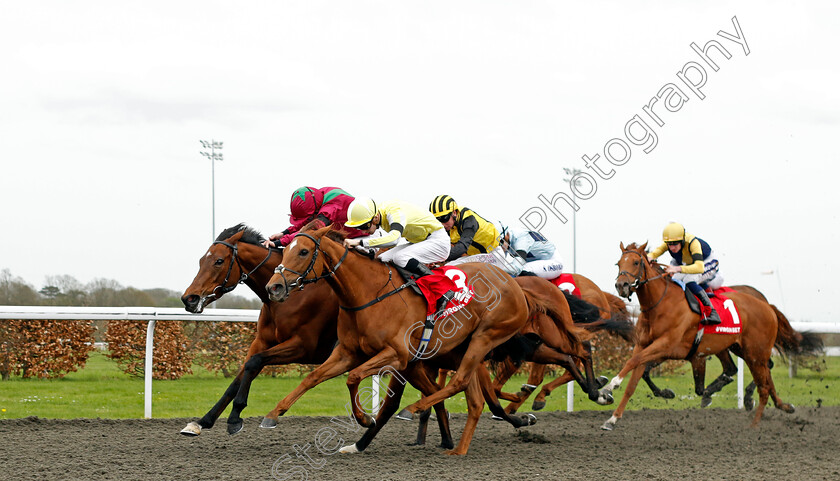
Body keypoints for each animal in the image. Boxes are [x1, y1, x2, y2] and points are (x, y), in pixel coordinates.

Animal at [266, 229, 592, 454]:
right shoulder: (349, 352)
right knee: (471, 393)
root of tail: (516, 284)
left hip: (487, 337)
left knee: (463, 381)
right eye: (286, 251)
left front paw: (365, 420)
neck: (368, 294)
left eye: (304, 251)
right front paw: (273, 414)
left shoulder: (397, 356)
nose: (275, 287)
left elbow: (355, 379)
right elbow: (314, 377)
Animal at [600, 242, 792, 430]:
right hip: (740, 349)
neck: (660, 304)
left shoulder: (664, 345)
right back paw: (783, 405)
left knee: (763, 379)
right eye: (618, 263)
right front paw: (612, 419)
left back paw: (754, 416)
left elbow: (633, 362)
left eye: (635, 262)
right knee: (758, 375)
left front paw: (609, 387)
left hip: (755, 352)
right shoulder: (647, 346)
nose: (621, 285)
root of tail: (767, 306)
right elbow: (634, 381)